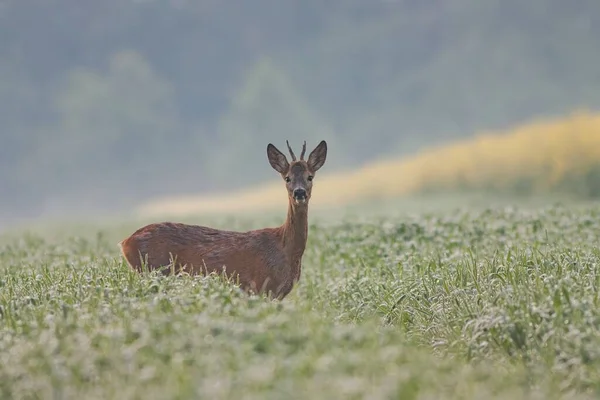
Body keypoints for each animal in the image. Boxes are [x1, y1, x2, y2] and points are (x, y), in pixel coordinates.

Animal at [118, 141, 328, 300]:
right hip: (153, 271)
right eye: (287, 178)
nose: (299, 192)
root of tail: (125, 242)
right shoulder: (261, 287)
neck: (285, 248)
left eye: (310, 177)